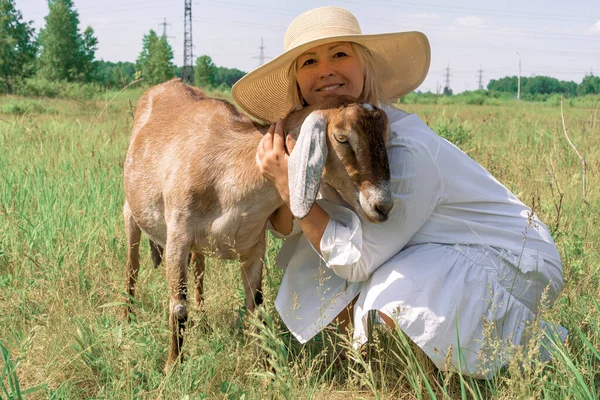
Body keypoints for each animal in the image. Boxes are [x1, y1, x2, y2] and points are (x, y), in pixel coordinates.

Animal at [122, 78, 394, 372]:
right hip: (130, 213)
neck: (227, 174)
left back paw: (203, 323)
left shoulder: (254, 248)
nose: (383, 206)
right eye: (342, 138)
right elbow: (178, 306)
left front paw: (266, 367)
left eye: (386, 137)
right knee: (132, 266)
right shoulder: (177, 237)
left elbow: (257, 306)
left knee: (199, 271)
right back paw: (126, 318)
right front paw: (172, 366)